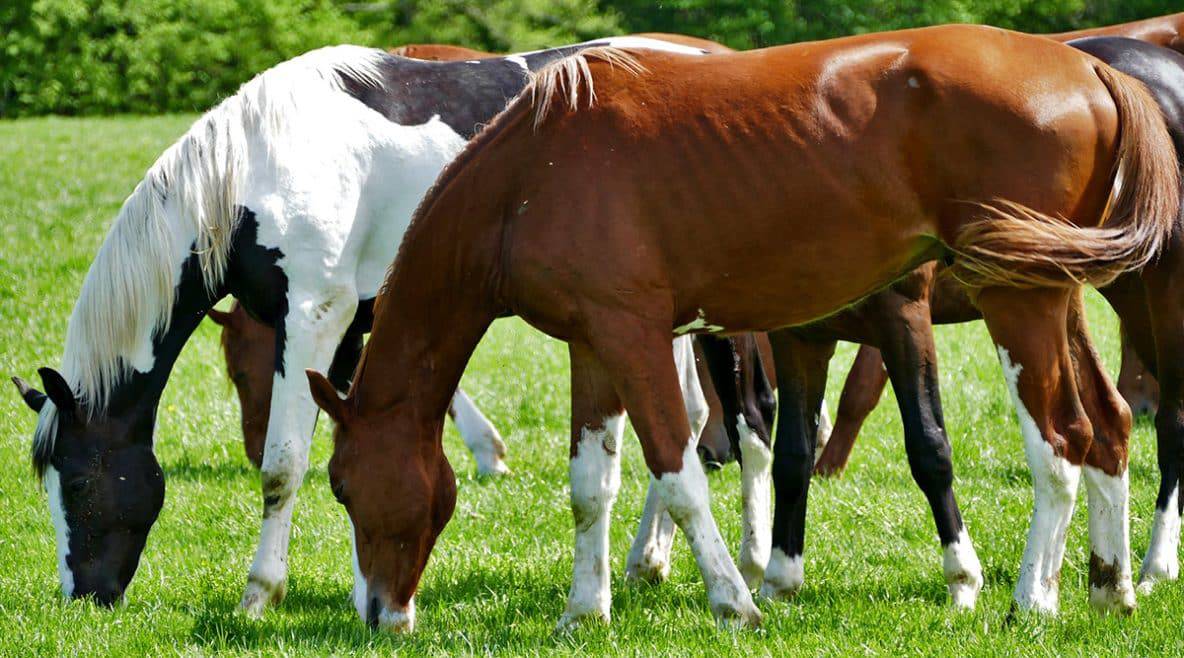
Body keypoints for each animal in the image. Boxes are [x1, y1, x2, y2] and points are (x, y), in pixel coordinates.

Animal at [8, 36, 718, 611]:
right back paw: (650, 561)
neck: (254, 172)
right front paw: (364, 589)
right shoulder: (347, 333)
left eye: (77, 479)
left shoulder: (316, 319)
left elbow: (284, 465)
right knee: (687, 414)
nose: (82, 596)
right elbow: (350, 443)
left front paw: (260, 595)